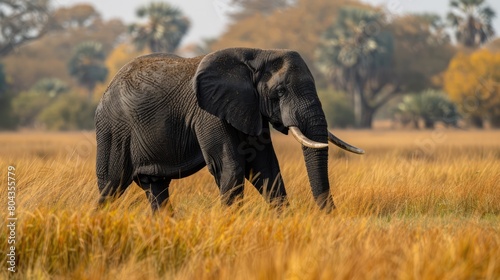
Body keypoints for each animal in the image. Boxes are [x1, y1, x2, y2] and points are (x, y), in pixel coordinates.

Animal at [95, 47, 364, 212]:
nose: (330, 215)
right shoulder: (208, 114)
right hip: (113, 130)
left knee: (155, 187)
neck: (258, 54)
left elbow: (265, 166)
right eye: (280, 92)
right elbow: (229, 167)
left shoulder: (249, 108)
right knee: (111, 185)